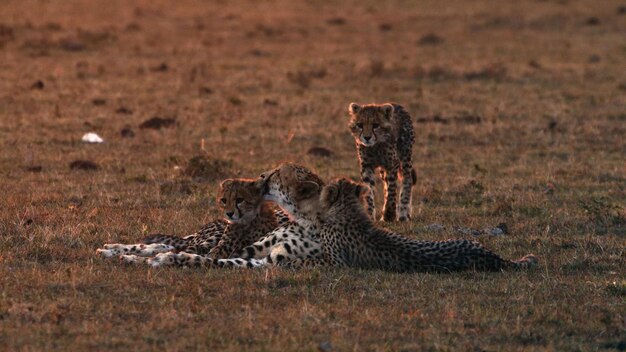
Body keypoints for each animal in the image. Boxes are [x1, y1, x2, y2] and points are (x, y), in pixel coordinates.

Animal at [96, 177, 288, 266]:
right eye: (224, 200)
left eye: (239, 199)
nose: (229, 213)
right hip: (204, 240)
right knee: (162, 245)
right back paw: (110, 249)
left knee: (164, 247)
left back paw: (112, 251)